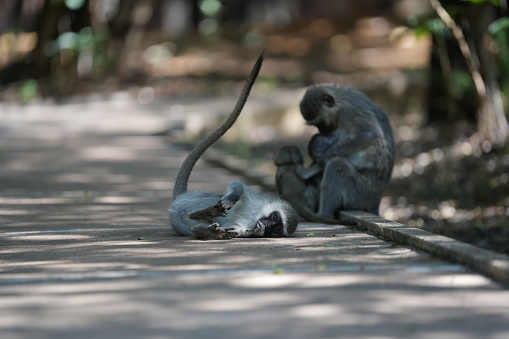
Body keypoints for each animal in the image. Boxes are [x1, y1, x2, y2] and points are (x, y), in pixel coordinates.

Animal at [169, 53, 300, 239]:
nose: (267, 224)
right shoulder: (255, 197)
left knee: (196, 226)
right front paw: (231, 198)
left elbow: (242, 230)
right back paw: (205, 213)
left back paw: (207, 227)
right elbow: (239, 185)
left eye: (277, 228)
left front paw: (255, 231)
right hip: (196, 198)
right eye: (275, 217)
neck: (256, 215)